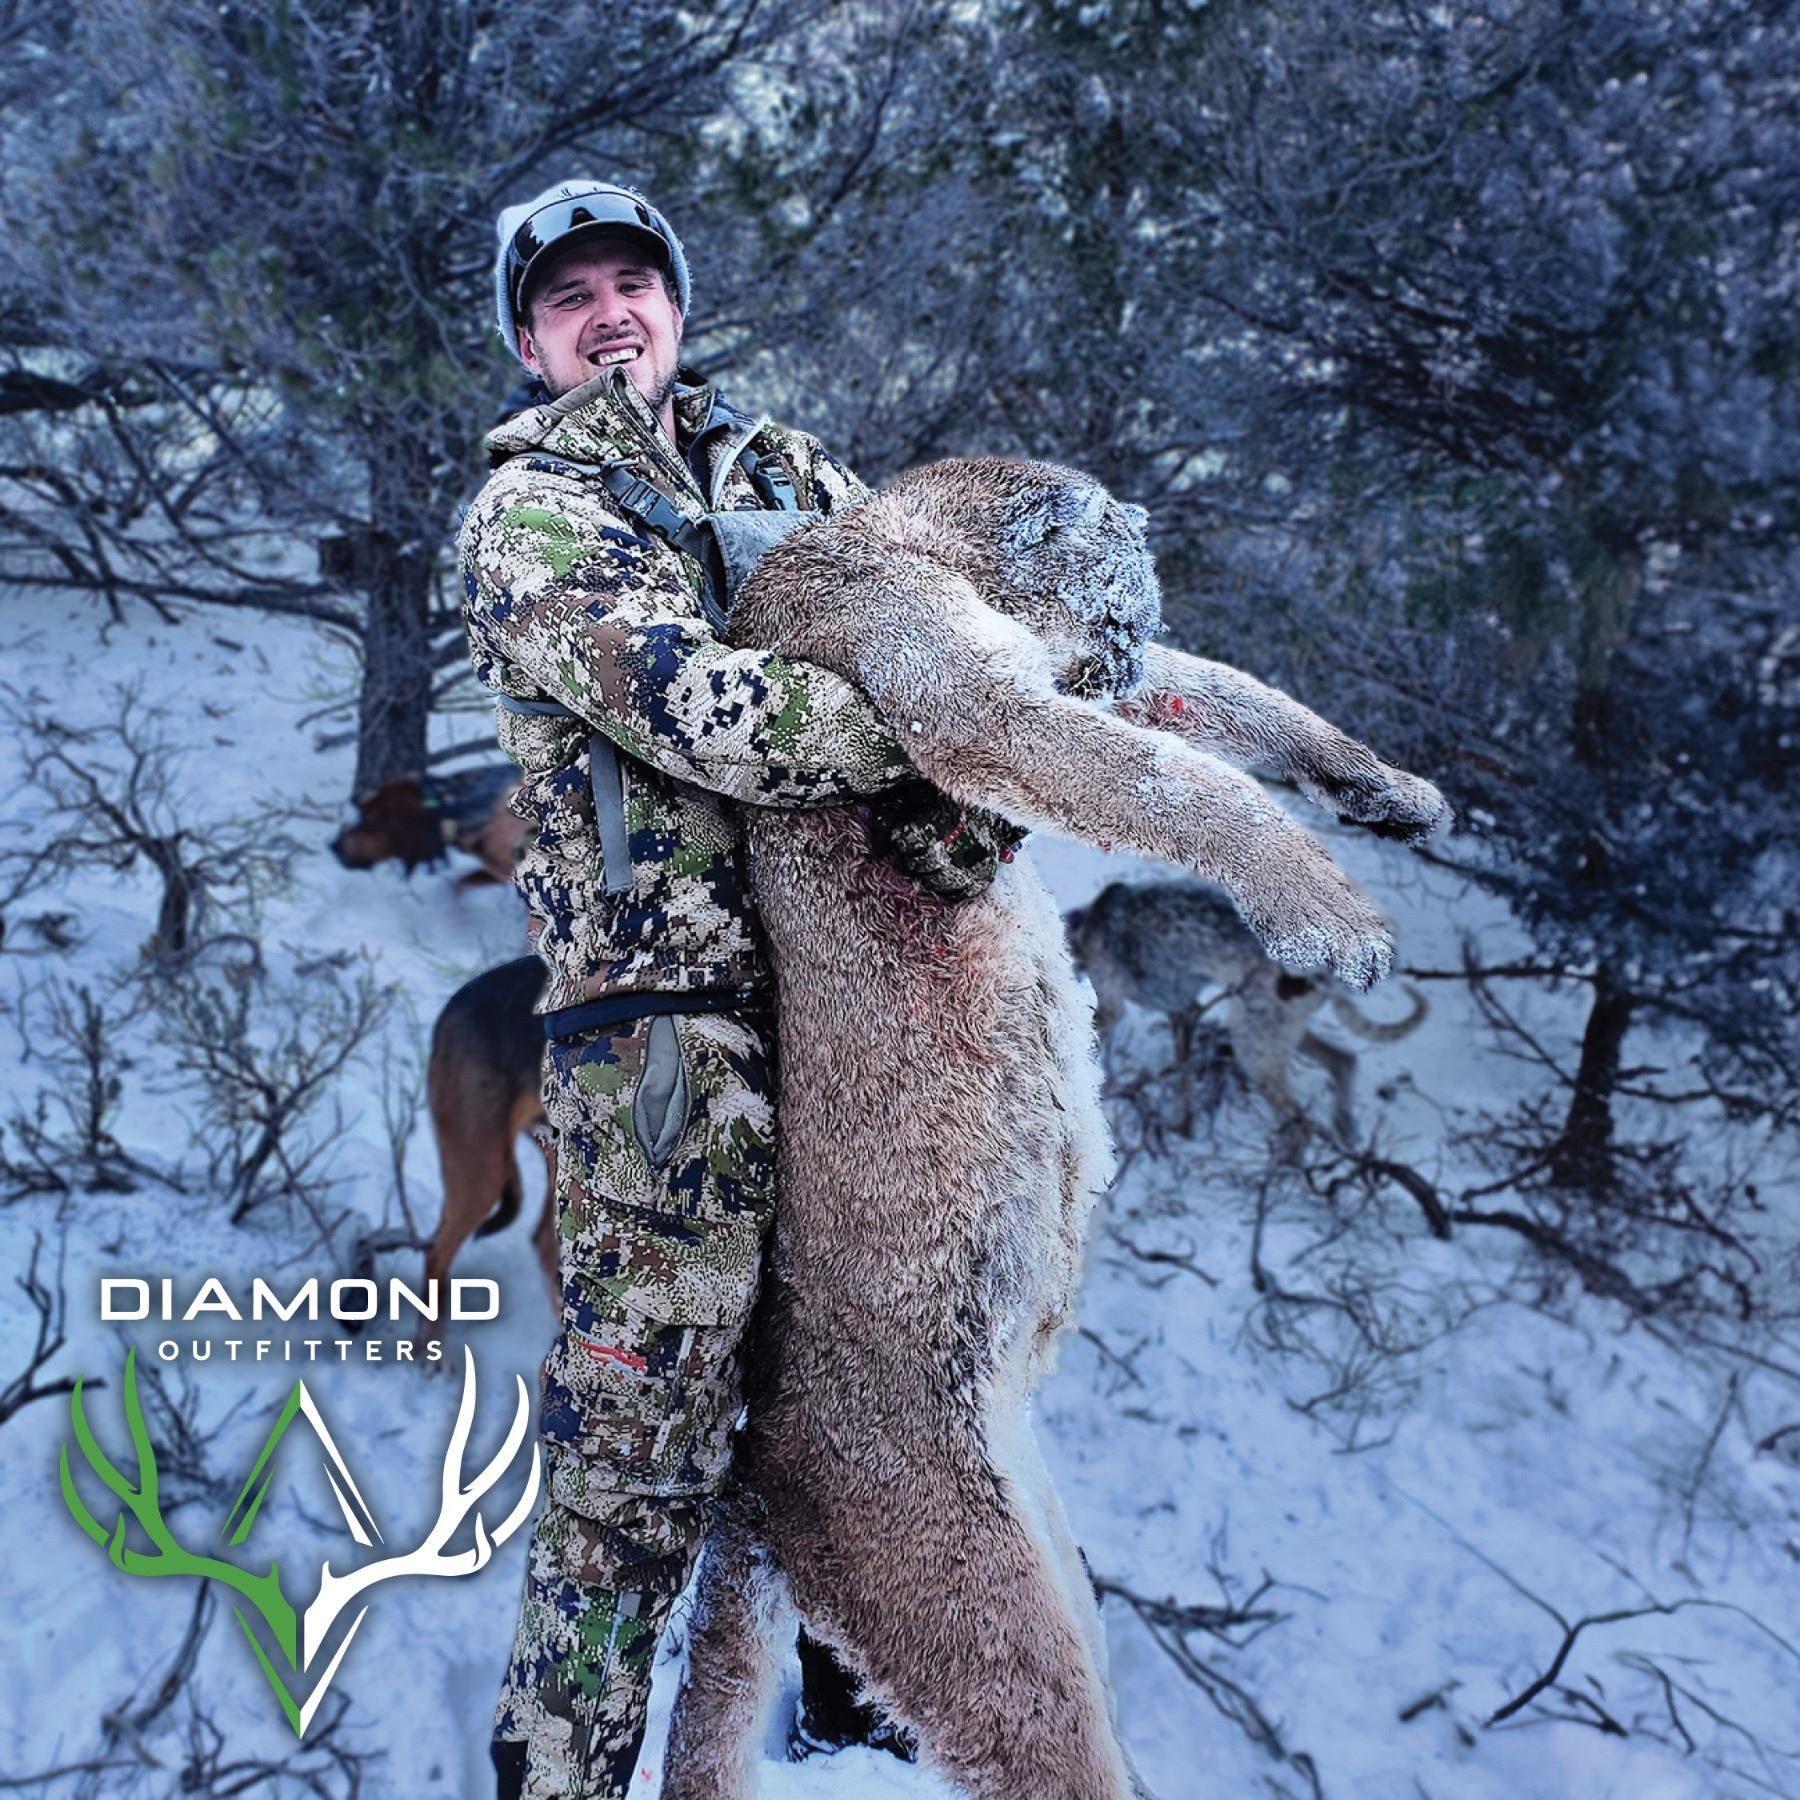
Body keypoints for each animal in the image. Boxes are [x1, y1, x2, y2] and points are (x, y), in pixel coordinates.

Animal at [1068, 878, 1429, 1143]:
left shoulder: (1113, 1008)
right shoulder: (1184, 1011)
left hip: (1254, 1044)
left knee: (1301, 1125)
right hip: (1273, 1031)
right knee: (1343, 1061)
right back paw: (1344, 1125)